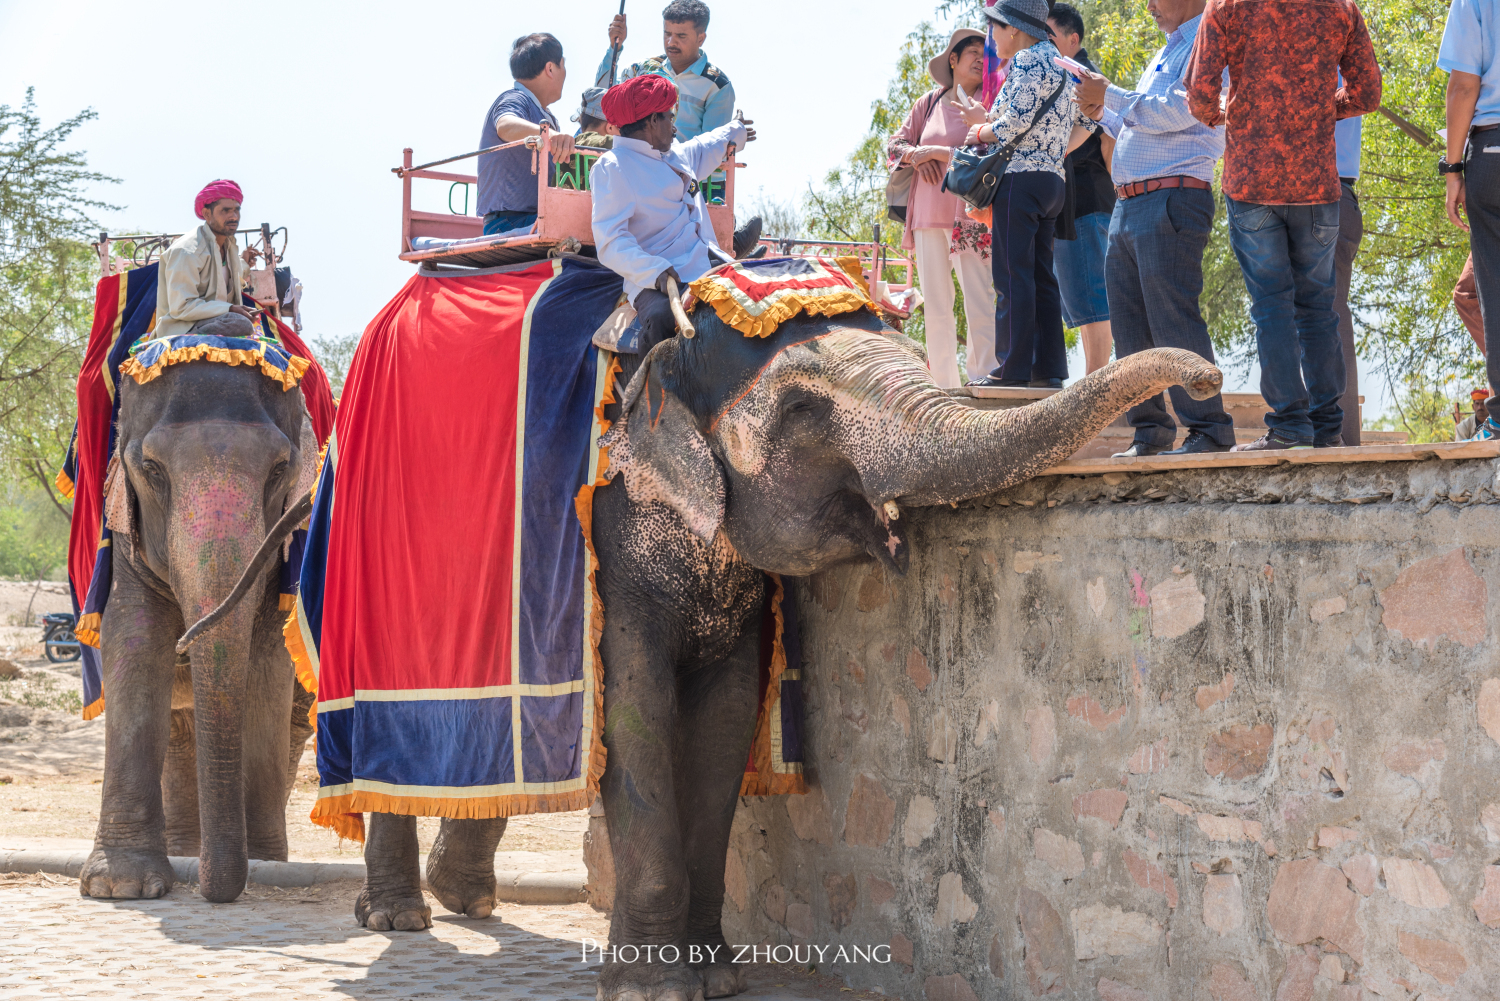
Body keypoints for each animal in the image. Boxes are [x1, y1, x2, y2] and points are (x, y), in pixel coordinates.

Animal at [79, 325, 319, 906]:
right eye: (151, 470)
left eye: (281, 470)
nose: (215, 893)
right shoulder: (125, 540)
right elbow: (135, 640)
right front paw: (120, 886)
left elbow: (266, 661)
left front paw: (265, 866)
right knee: (180, 725)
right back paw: (185, 853)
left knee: (291, 725)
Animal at [190, 307, 1218, 1001]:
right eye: (801, 410)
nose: (1208, 382)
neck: (662, 357)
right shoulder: (609, 536)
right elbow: (638, 713)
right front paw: (653, 986)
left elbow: (723, 722)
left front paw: (716, 976)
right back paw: (398, 916)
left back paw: (461, 899)